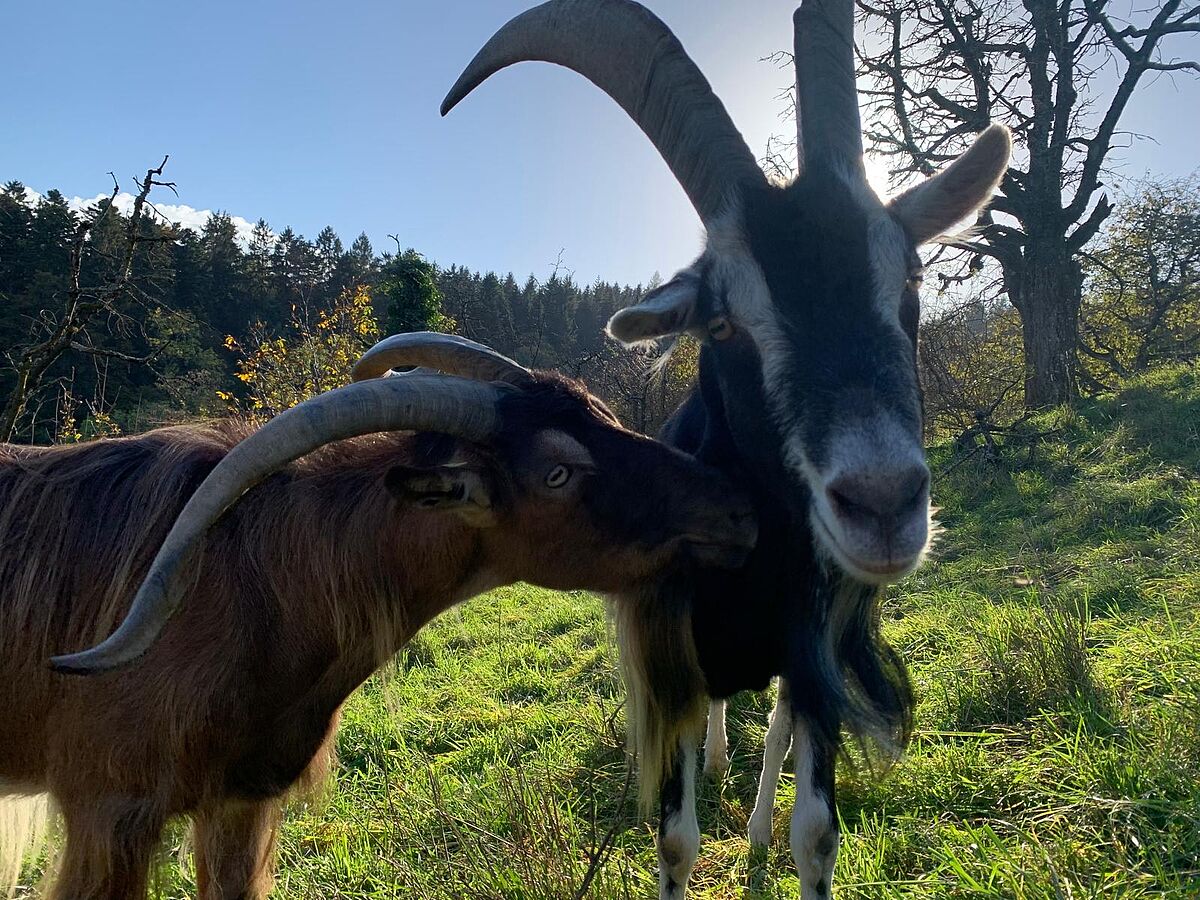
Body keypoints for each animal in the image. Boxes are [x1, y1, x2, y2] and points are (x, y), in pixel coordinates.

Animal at [0, 333, 753, 900]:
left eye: (605, 414)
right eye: (557, 473)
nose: (735, 505)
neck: (248, 579)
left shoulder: (243, 798)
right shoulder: (109, 812)